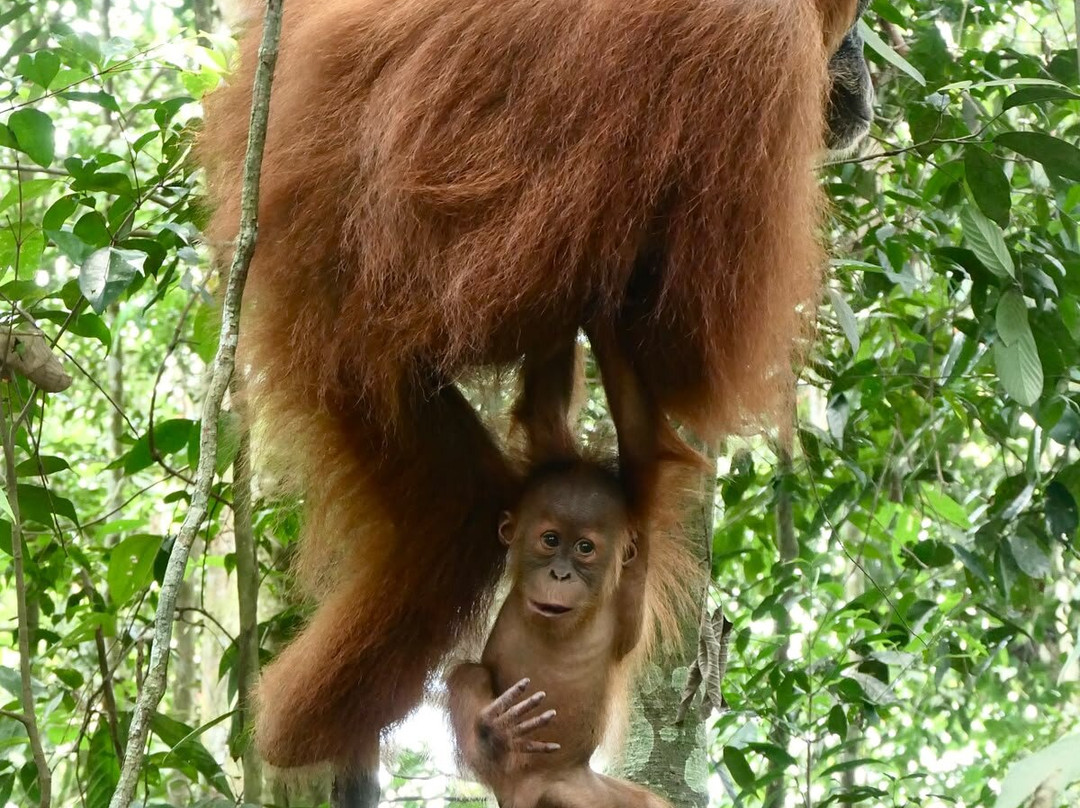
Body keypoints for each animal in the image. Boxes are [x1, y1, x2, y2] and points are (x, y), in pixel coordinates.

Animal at [199, 0, 874, 771]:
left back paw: (292, 732)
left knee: (454, 504)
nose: (864, 61)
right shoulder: (761, 51)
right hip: (344, 318)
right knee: (469, 507)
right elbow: (689, 356)